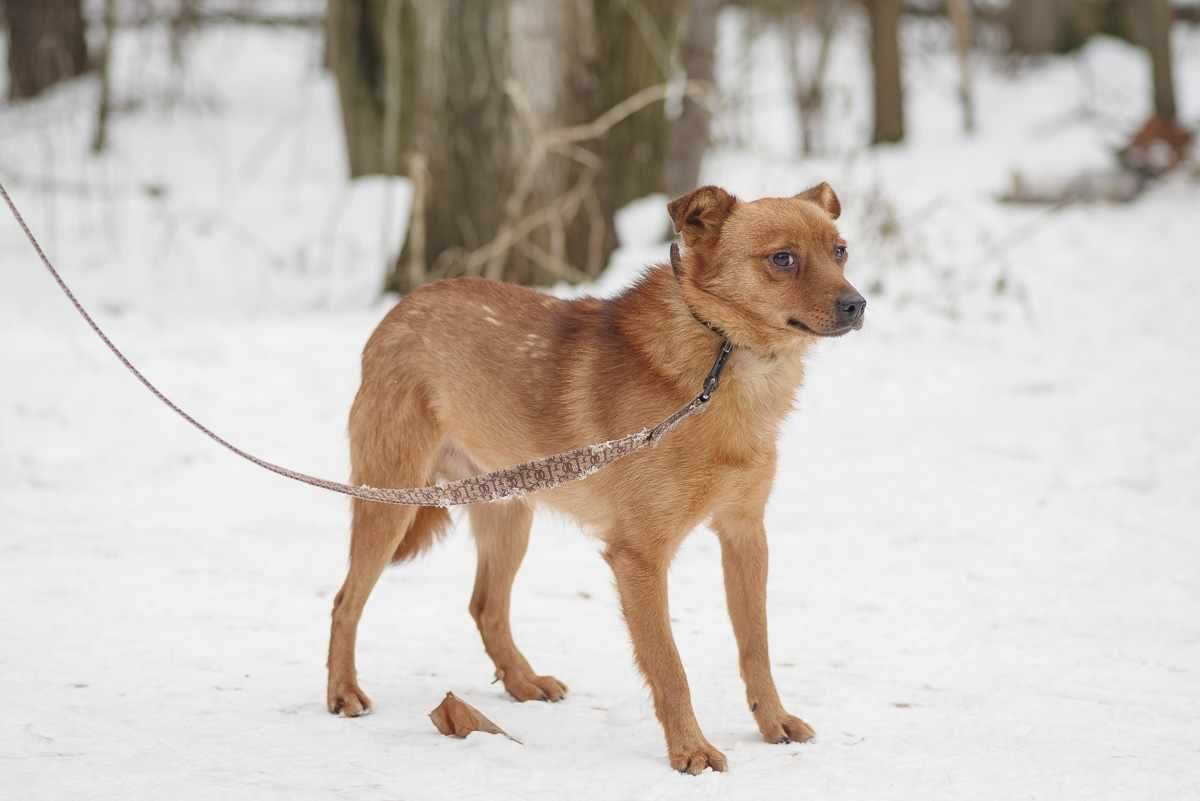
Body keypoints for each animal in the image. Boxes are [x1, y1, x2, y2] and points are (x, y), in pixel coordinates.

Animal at [324, 181, 868, 767]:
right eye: (782, 259)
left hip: (509, 513)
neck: (723, 360)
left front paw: (773, 723)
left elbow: (756, 648)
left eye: (840, 251)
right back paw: (343, 691)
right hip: (388, 503)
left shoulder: (745, 536)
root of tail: (402, 309)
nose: (857, 304)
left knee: (486, 606)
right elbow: (670, 666)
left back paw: (523, 682)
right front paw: (691, 750)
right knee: (346, 602)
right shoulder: (640, 558)